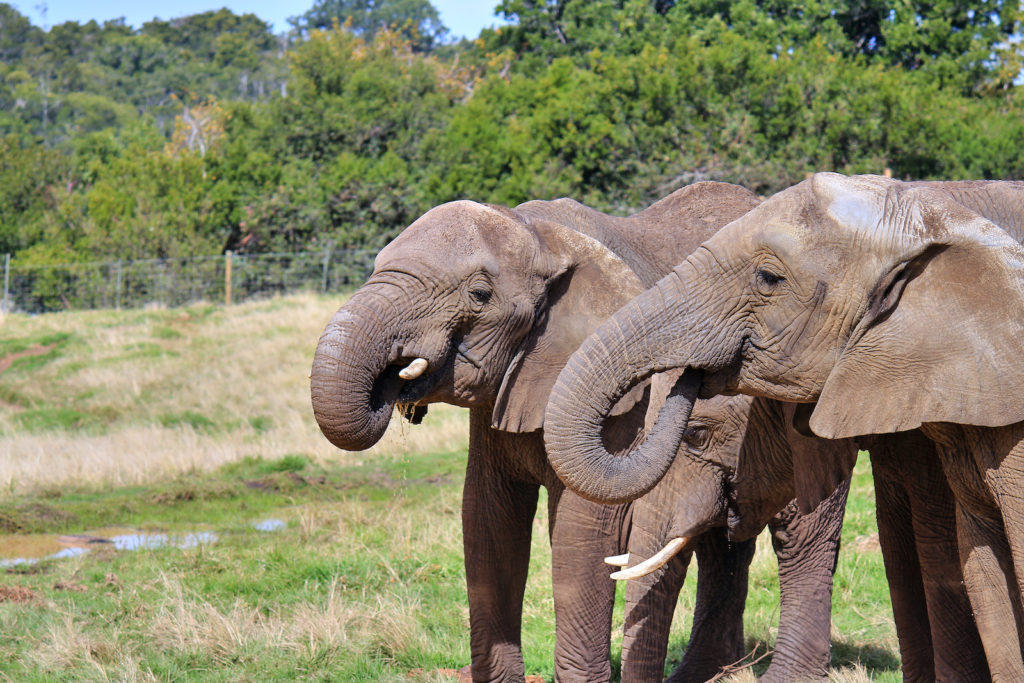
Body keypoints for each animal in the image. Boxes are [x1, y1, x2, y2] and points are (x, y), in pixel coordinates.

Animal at [307, 181, 765, 683]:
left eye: (479, 294)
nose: (392, 385)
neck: (539, 235)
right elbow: (487, 519)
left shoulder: (624, 404)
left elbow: (583, 531)